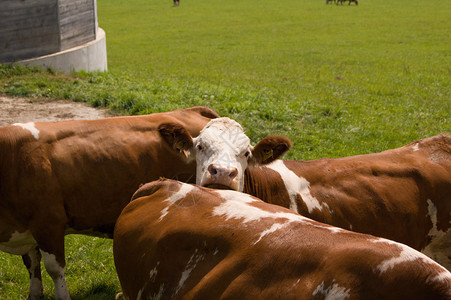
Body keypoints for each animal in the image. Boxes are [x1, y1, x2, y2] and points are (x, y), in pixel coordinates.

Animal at [0, 106, 219, 298]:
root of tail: (191, 110)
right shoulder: (28, 229)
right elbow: (31, 263)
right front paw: (34, 294)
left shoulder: (49, 223)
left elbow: (54, 269)